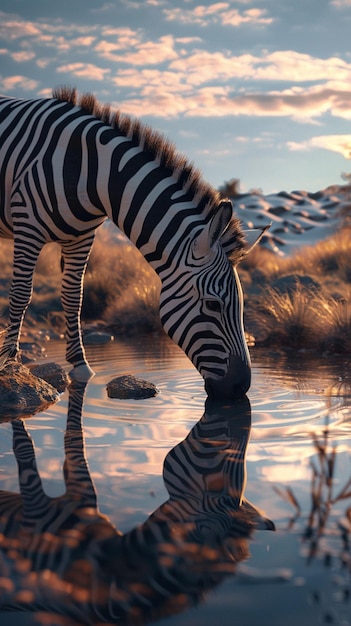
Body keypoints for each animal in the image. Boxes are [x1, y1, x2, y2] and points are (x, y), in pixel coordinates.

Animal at [0, 88, 266, 398]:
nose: (241, 387)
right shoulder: (28, 227)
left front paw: (80, 364)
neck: (88, 172)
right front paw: (9, 364)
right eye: (213, 305)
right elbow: (21, 294)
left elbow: (73, 297)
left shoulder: (82, 237)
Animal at [0, 382, 276, 620]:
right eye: (219, 483)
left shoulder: (83, 498)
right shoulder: (37, 513)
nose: (236, 393)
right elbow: (26, 449)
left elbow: (74, 444)